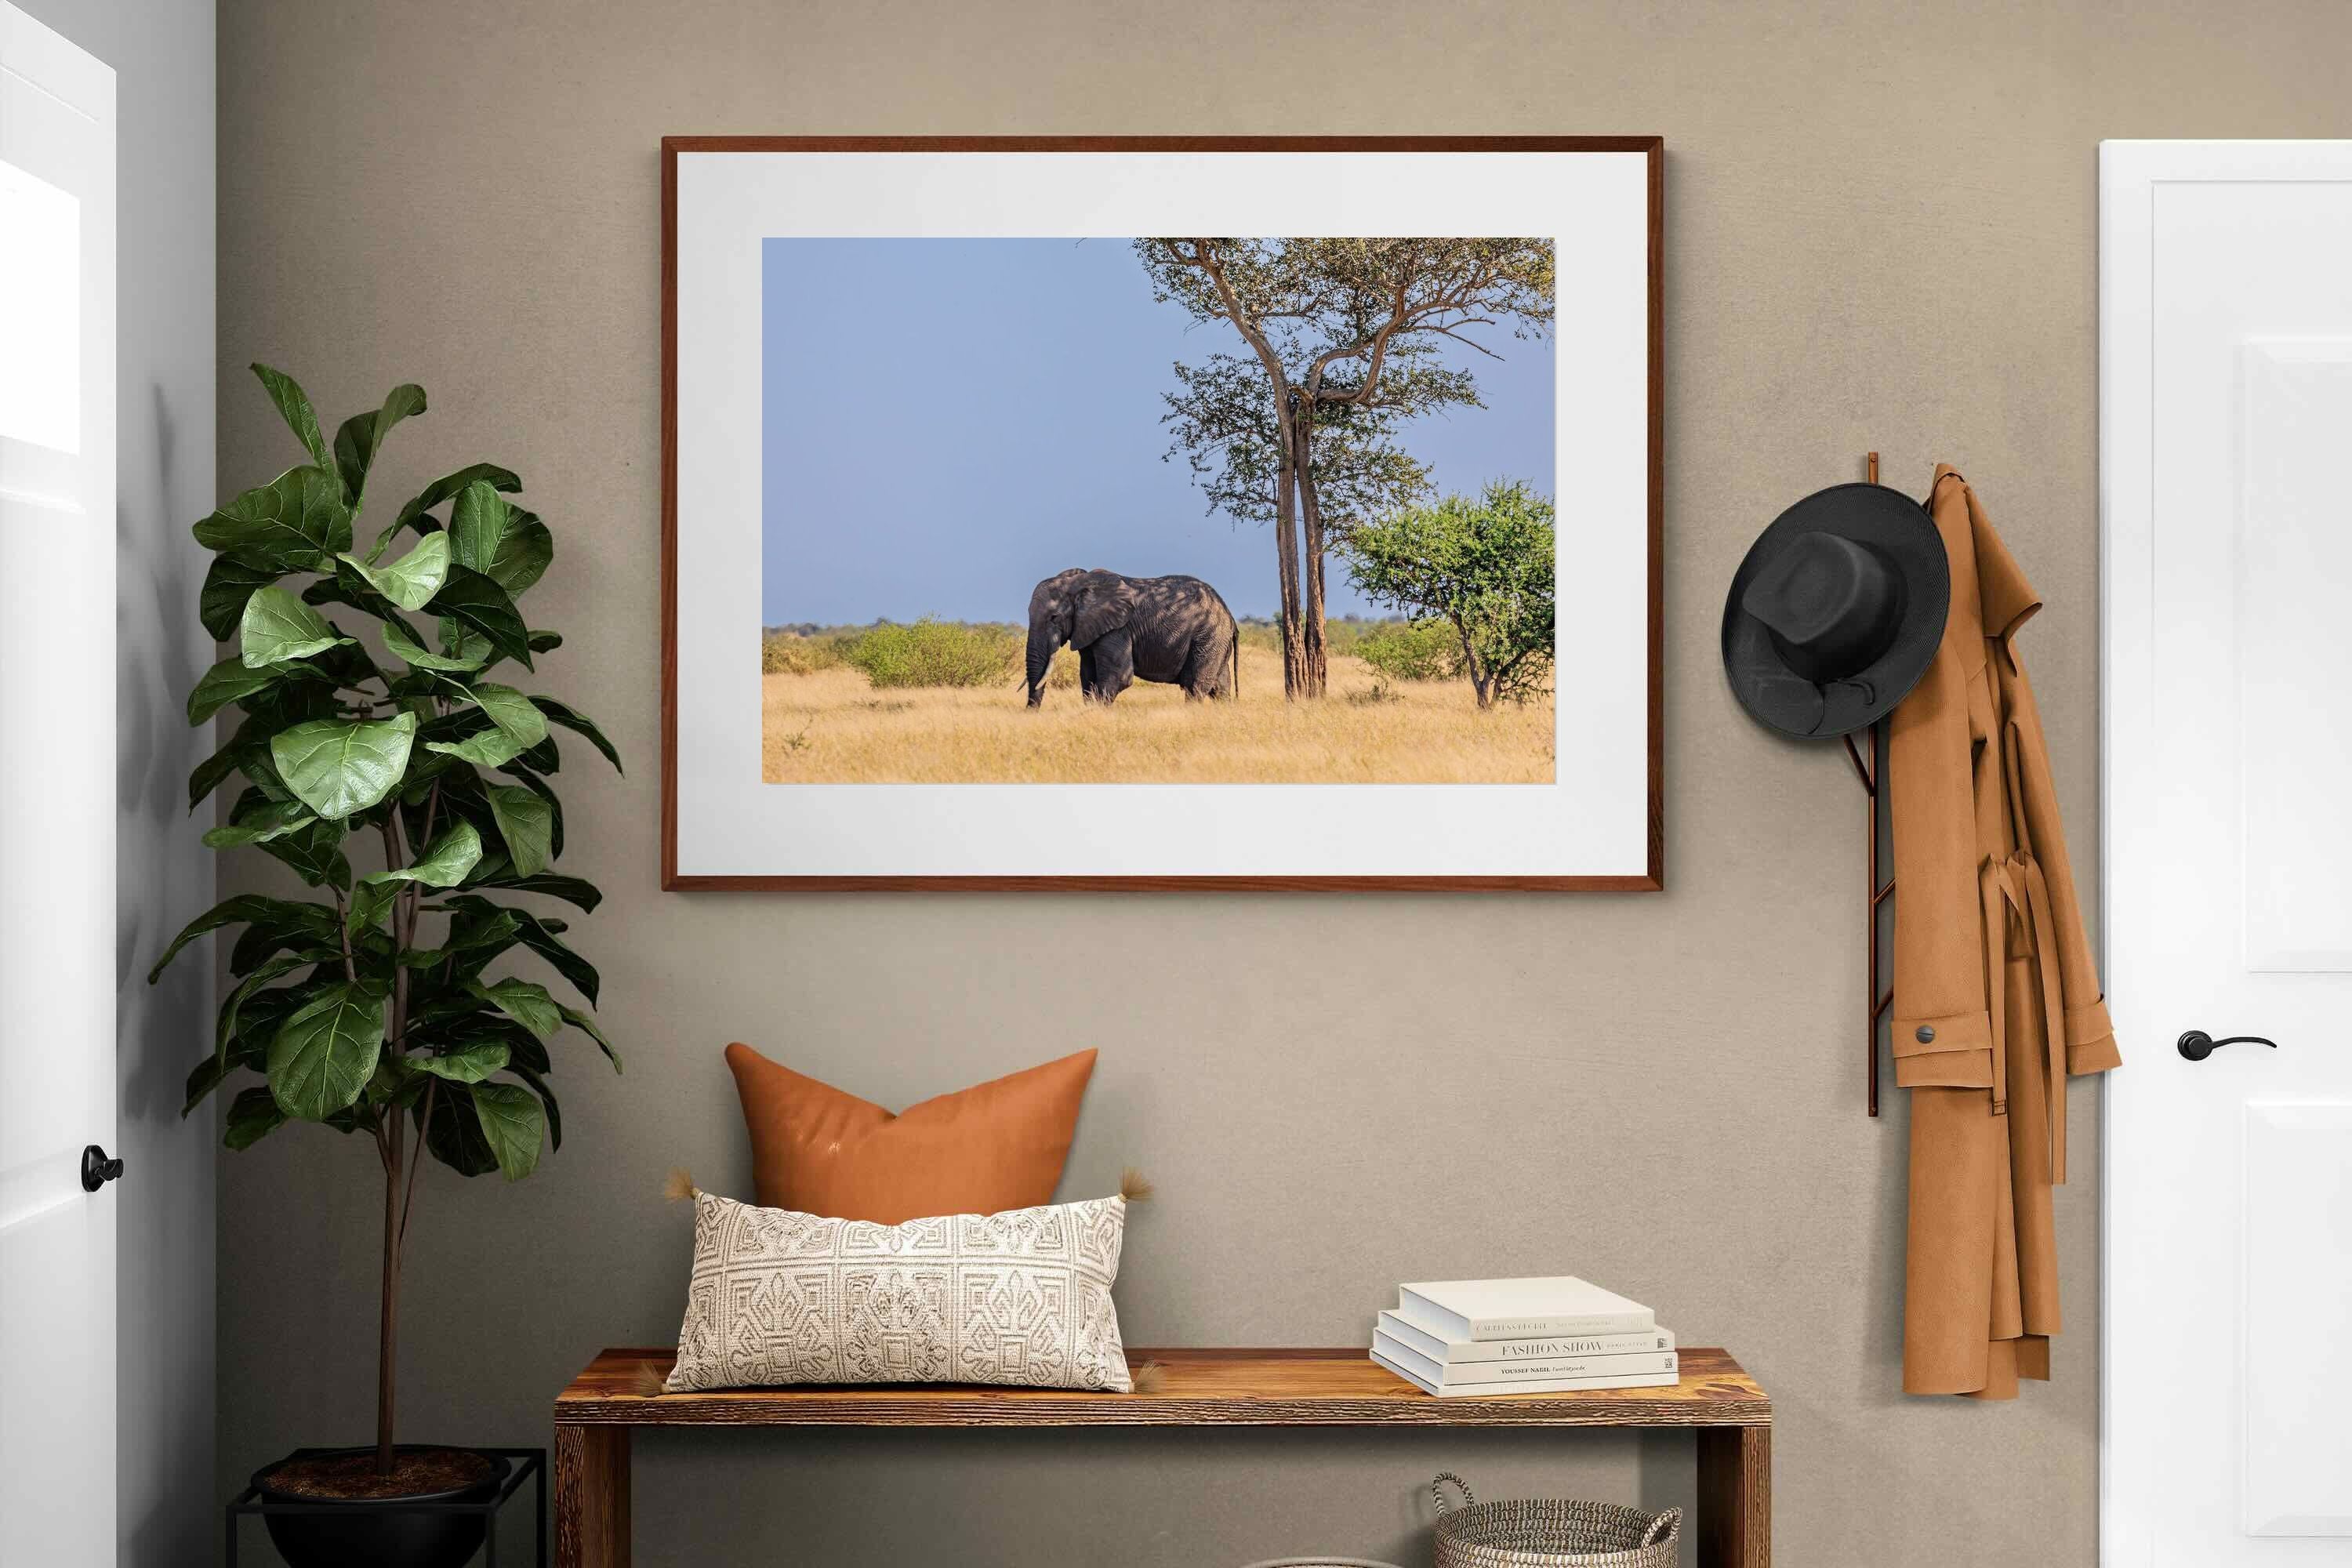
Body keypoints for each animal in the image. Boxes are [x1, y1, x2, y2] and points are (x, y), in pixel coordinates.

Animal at [1023, 568, 1240, 708]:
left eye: (1054, 617)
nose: (1031, 712)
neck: (1079, 584)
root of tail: (1229, 614)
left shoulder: (1117, 629)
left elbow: (1119, 677)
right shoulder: (1088, 629)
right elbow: (1087, 677)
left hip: (1208, 635)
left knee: (1195, 685)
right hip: (1216, 641)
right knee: (1220, 688)